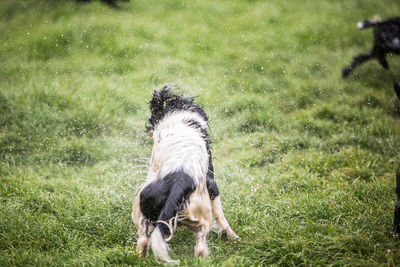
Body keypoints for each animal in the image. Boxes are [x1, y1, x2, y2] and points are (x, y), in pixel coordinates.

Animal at [131, 86, 238, 264]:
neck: (179, 117)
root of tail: (178, 184)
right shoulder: (212, 185)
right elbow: (221, 216)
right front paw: (232, 236)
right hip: (201, 216)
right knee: (200, 244)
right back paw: (205, 259)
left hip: (142, 207)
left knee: (143, 238)